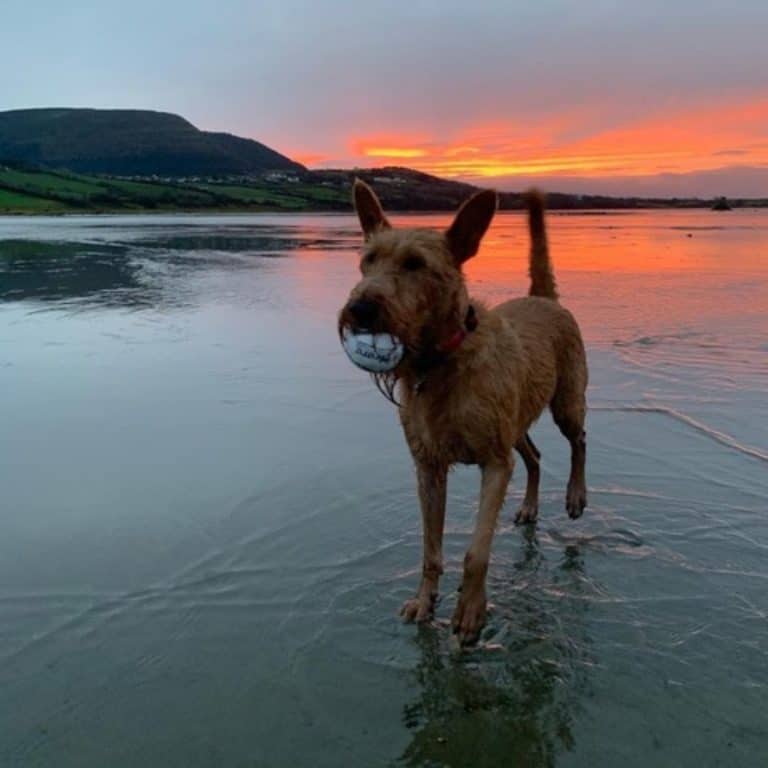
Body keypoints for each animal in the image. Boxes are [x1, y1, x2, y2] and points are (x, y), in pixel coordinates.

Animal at [338, 183, 588, 644]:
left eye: (415, 264)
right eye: (367, 260)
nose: (360, 308)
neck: (439, 364)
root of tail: (543, 299)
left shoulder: (494, 464)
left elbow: (477, 550)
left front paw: (471, 610)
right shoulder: (429, 468)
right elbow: (430, 548)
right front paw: (424, 602)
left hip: (566, 401)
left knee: (577, 439)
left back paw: (576, 495)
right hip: (515, 422)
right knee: (534, 457)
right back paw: (529, 506)